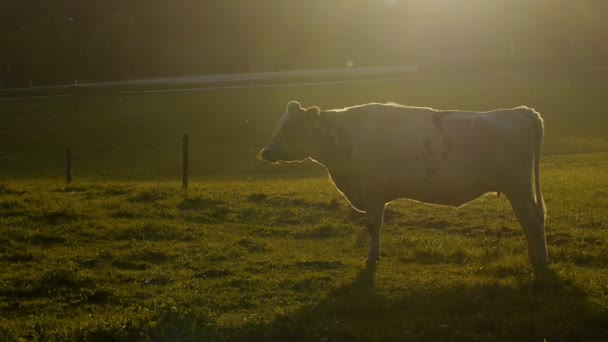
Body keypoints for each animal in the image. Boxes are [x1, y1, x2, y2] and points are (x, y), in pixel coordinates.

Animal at [258, 100, 548, 272]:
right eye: (278, 125)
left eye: (290, 129)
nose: (265, 151)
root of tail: (522, 112)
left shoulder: (373, 189)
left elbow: (373, 225)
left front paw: (372, 258)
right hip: (518, 189)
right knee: (529, 221)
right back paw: (534, 258)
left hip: (518, 187)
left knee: (532, 220)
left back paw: (542, 263)